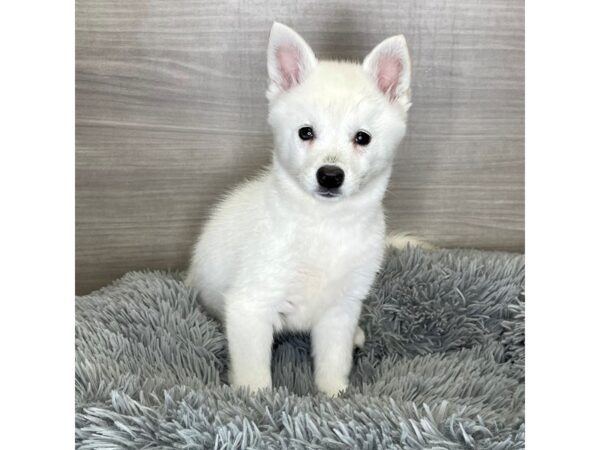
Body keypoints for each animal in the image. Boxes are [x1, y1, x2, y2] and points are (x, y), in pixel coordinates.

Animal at [185, 22, 420, 396]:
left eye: (362, 138)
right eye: (305, 133)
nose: (330, 175)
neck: (324, 224)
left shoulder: (340, 311)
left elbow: (333, 365)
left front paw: (335, 398)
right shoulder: (250, 306)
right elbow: (254, 377)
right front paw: (255, 404)